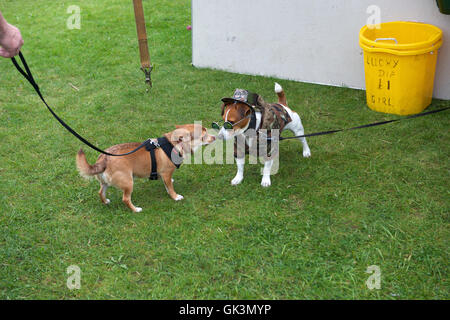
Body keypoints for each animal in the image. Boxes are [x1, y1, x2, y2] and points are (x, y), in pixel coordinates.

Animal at [76, 124, 216, 212]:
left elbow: (167, 184)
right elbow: (171, 188)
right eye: (204, 136)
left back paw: (105, 202)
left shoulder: (164, 175)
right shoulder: (166, 173)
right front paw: (175, 197)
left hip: (105, 182)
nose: (214, 137)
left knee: (100, 192)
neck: (174, 145)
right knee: (125, 199)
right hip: (129, 183)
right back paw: (136, 209)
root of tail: (104, 158)